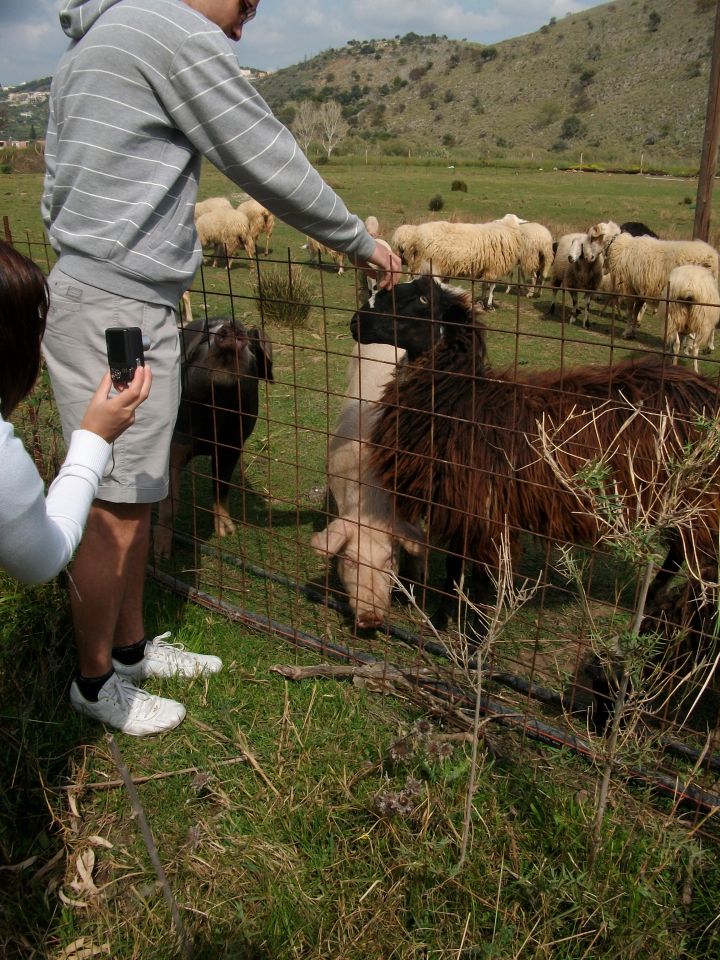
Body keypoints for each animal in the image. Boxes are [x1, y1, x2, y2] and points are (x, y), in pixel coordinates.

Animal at [153, 316, 274, 556]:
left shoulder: (232, 444)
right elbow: (170, 497)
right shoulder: (178, 439)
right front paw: (162, 554)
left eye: (250, 344)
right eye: (204, 341)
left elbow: (221, 485)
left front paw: (227, 532)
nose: (231, 324)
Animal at [584, 219, 716, 340]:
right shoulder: (641, 289)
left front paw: (626, 332)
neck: (619, 246)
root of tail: (713, 258)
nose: (587, 257)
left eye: (592, 238)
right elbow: (636, 311)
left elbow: (630, 312)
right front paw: (632, 331)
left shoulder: (629, 287)